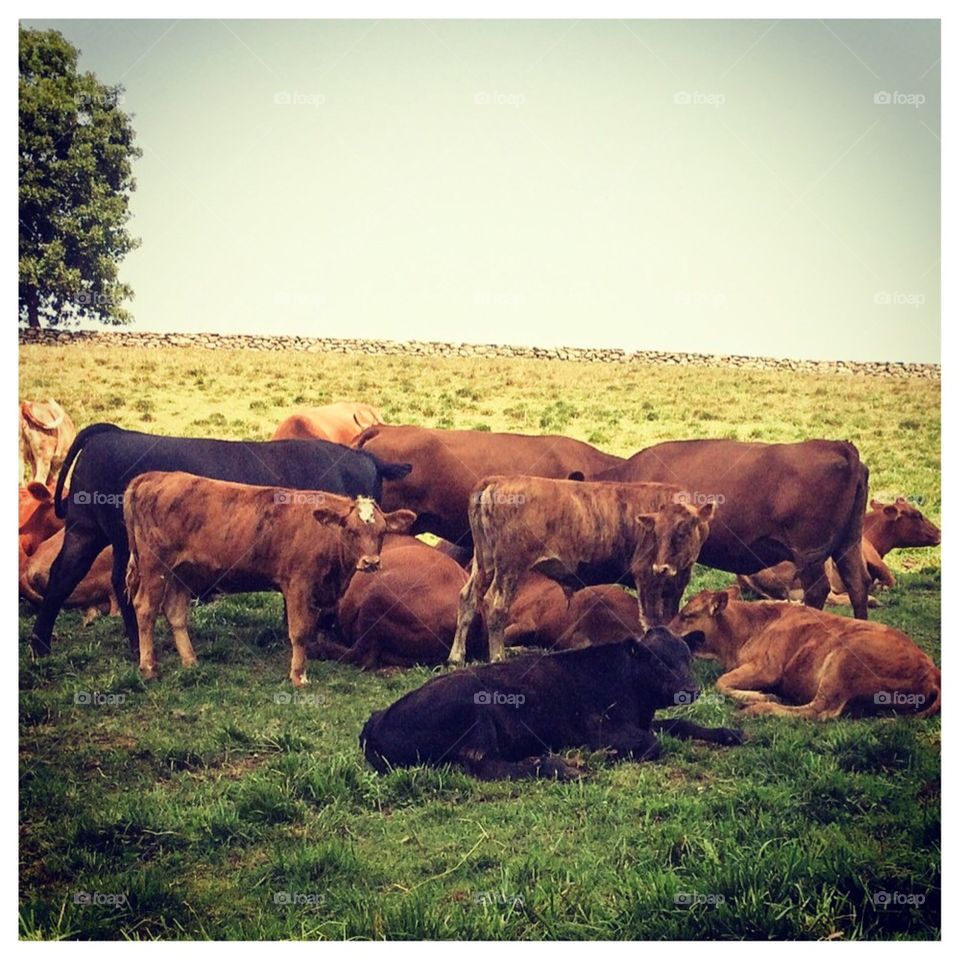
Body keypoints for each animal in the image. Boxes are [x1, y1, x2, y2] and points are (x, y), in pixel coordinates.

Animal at [29, 423, 412, 659]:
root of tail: (111, 433)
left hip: (86, 532)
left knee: (68, 576)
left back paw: (43, 646)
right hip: (116, 539)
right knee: (115, 584)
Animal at [123, 472, 416, 686]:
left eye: (381, 532)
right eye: (351, 531)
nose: (371, 562)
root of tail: (152, 477)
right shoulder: (297, 585)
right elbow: (299, 632)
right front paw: (298, 676)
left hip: (181, 572)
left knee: (175, 614)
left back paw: (190, 661)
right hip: (154, 567)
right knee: (145, 609)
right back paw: (149, 667)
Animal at [360, 628, 743, 780]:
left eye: (687, 657)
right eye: (660, 662)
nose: (691, 689)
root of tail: (376, 720)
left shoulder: (641, 720)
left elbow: (678, 724)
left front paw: (728, 733)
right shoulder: (598, 728)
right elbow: (652, 743)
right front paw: (607, 756)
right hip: (474, 709)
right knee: (487, 766)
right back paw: (558, 766)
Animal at [449, 476, 715, 665]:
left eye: (683, 531)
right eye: (655, 533)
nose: (662, 567)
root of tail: (496, 480)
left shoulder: (676, 584)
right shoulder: (646, 577)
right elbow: (652, 621)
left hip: (485, 562)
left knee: (468, 598)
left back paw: (456, 656)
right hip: (509, 566)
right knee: (496, 607)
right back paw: (497, 657)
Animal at [670, 586, 941, 720]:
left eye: (687, 615)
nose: (664, 629)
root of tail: (932, 670)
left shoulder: (766, 668)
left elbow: (720, 682)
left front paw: (762, 696)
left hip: (843, 661)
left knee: (819, 711)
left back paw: (759, 709)